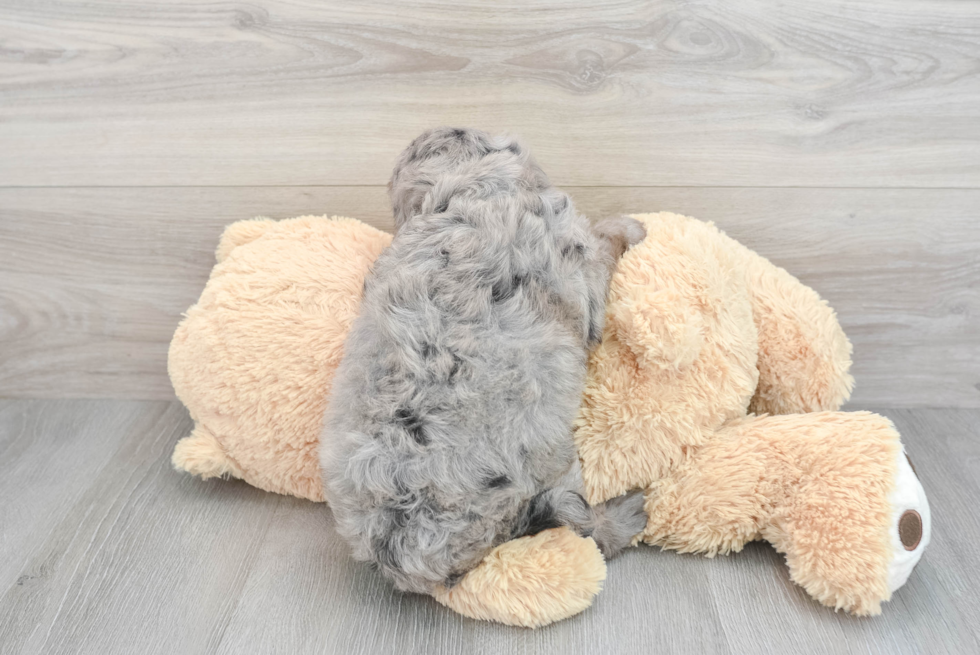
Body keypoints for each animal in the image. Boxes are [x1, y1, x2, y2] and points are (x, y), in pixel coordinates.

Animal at [318, 127, 648, 596]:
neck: (472, 187)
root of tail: (402, 551)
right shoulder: (581, 263)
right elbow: (604, 242)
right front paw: (632, 227)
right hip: (551, 468)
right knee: (584, 525)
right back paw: (628, 514)